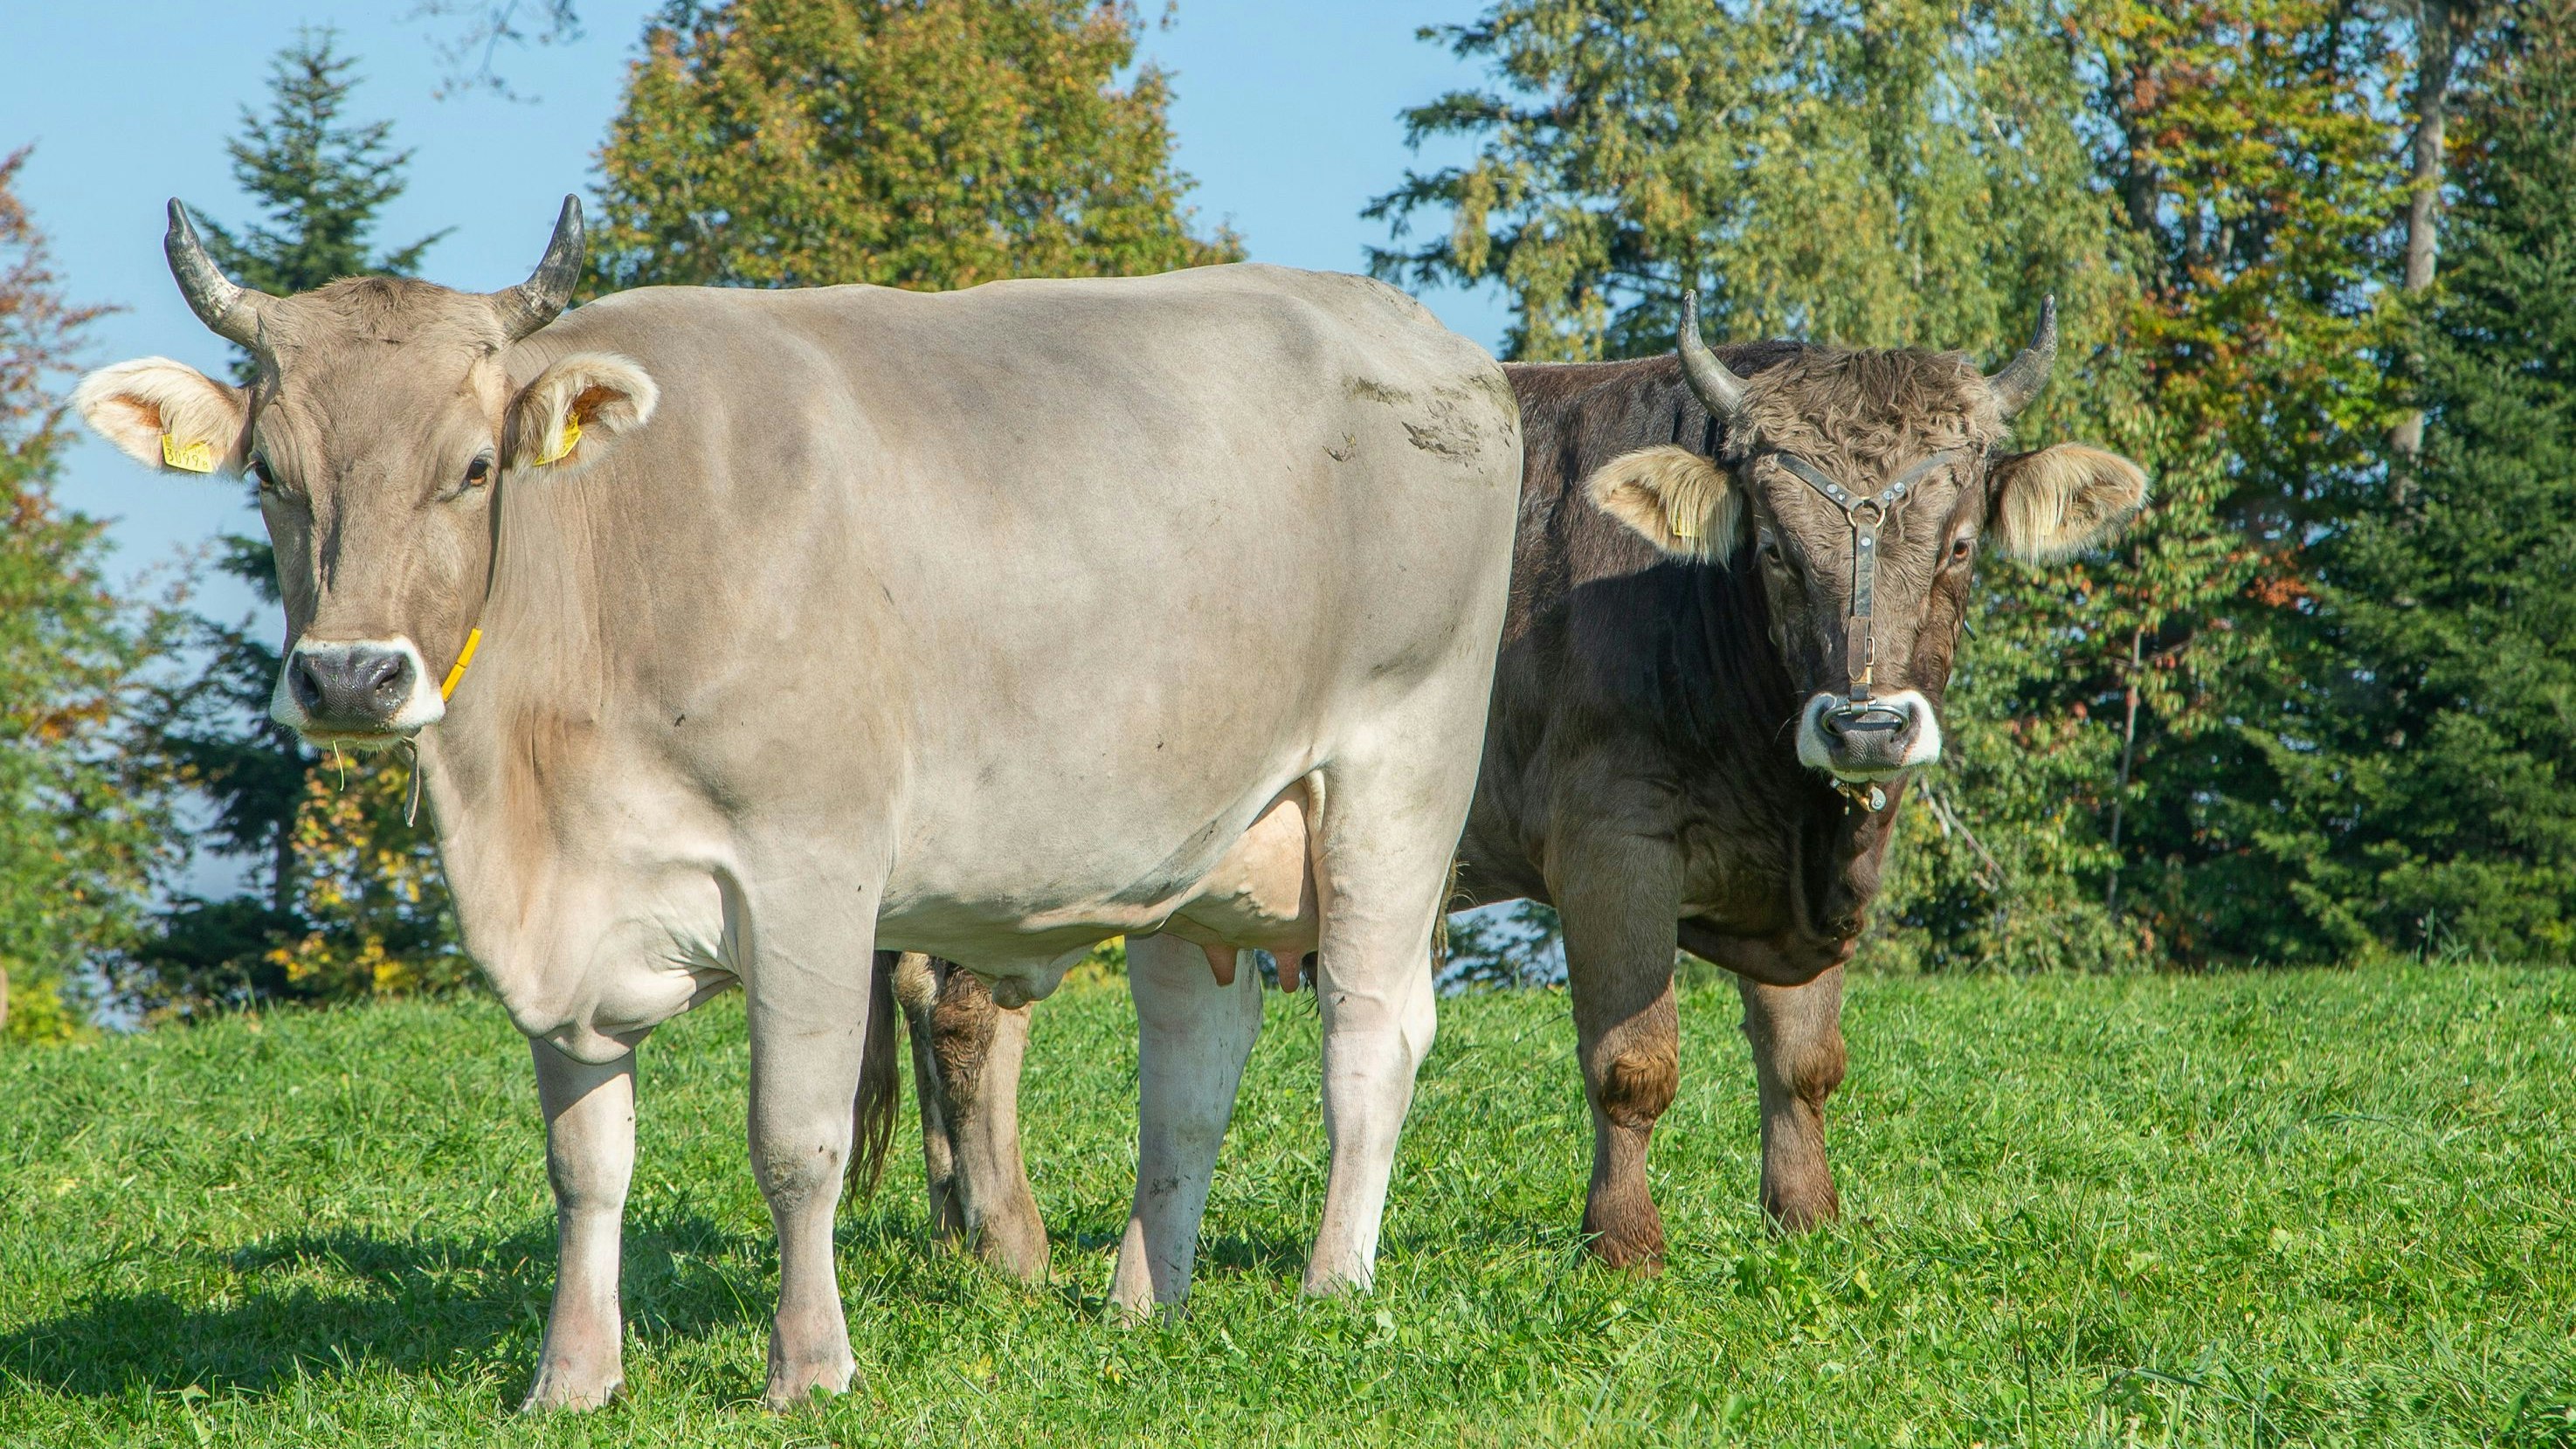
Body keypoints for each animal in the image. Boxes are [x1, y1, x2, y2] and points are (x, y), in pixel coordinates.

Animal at [75, 197, 1524, 1410]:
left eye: (475, 466)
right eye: (270, 472)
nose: (350, 675)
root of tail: (1411, 328)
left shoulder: (813, 867)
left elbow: (796, 1138)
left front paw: (809, 1365)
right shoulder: (566, 917)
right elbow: (585, 1159)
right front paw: (571, 1378)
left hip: (1401, 760)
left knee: (1370, 1031)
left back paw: (1333, 1282)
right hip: (1203, 832)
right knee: (1190, 1063)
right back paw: (1140, 1303)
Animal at [896, 297, 2143, 1281]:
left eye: (1962, 545)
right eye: (1776, 551)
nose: (1866, 722)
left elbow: (1803, 1058)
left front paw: (1807, 1222)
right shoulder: (1610, 847)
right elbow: (1633, 1061)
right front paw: (1624, 1247)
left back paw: (960, 1226)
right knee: (966, 1007)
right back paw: (1011, 1245)